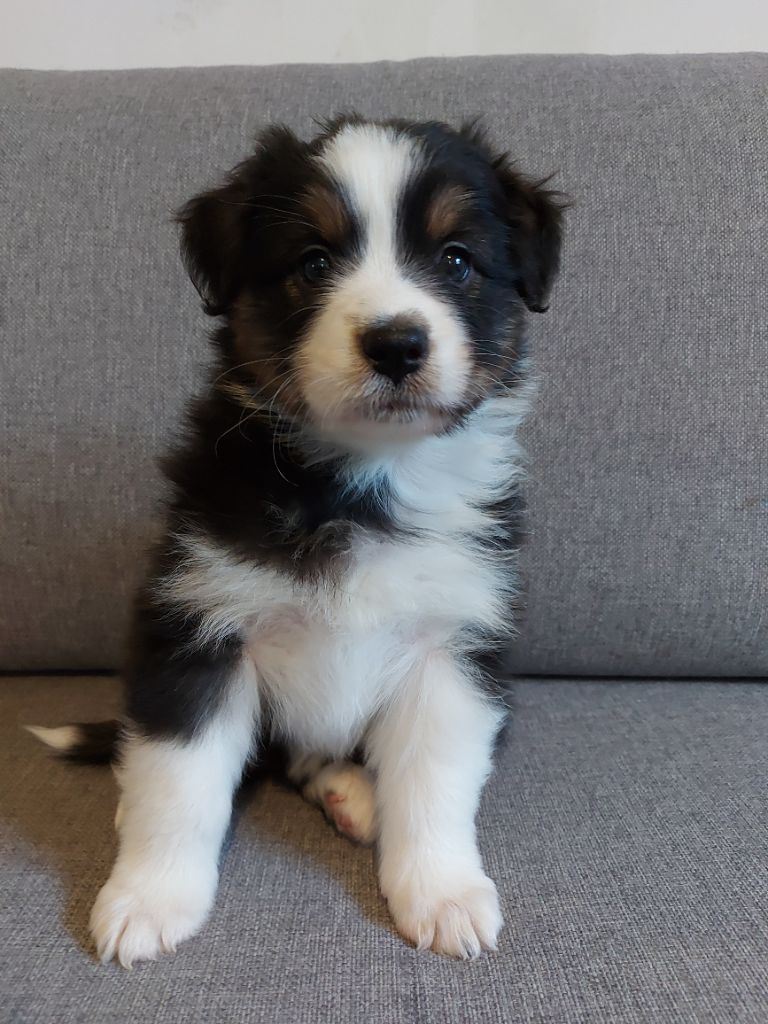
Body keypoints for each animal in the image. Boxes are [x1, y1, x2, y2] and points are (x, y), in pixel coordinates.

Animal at [30, 115, 564, 967]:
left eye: (456, 259)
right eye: (313, 261)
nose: (397, 343)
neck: (362, 478)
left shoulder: (453, 644)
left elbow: (435, 781)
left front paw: (442, 892)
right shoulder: (199, 625)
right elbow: (178, 783)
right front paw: (149, 898)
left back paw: (354, 794)